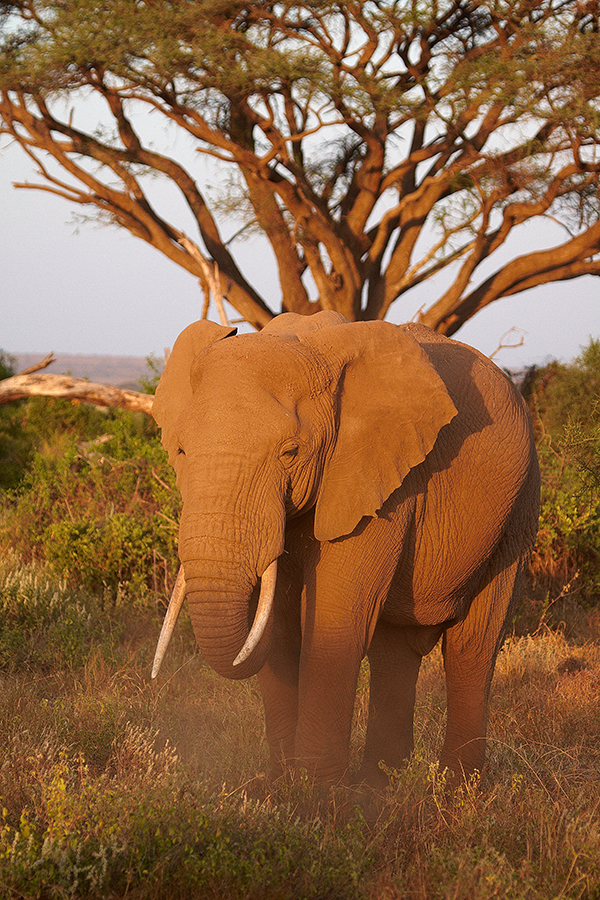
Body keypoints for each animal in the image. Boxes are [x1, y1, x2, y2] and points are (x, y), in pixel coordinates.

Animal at [150, 312, 540, 788]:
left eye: (290, 452)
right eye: (181, 449)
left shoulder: (382, 483)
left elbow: (336, 620)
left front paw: (317, 794)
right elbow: (281, 624)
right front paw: (282, 789)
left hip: (518, 512)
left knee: (473, 645)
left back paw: (456, 789)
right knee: (395, 649)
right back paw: (381, 785)